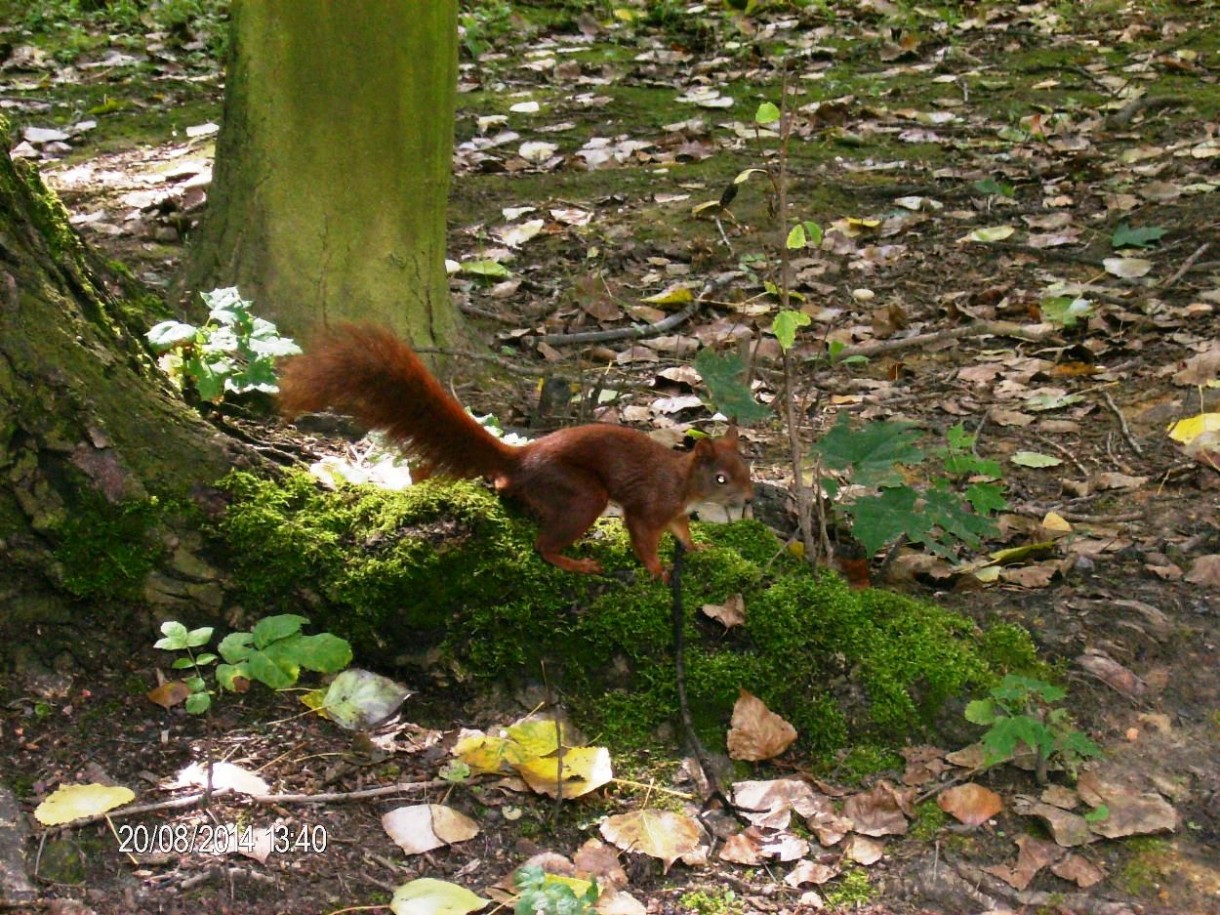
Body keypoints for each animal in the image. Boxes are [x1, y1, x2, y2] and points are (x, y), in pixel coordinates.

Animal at [279, 326, 751, 575]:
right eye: (721, 478)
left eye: (746, 468)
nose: (748, 497)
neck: (684, 483)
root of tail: (520, 459)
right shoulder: (649, 506)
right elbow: (642, 537)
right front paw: (657, 571)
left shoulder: (675, 514)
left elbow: (683, 533)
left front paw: (699, 550)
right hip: (582, 493)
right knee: (544, 543)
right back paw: (574, 562)